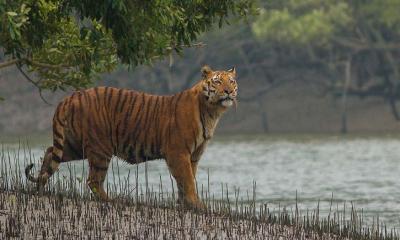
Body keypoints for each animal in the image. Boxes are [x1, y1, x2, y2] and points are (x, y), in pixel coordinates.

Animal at [25, 65, 238, 208]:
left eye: (232, 81)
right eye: (218, 81)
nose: (229, 91)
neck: (212, 112)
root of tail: (71, 96)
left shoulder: (193, 155)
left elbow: (186, 180)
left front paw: (184, 204)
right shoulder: (178, 152)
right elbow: (187, 180)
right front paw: (197, 205)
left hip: (75, 145)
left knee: (50, 152)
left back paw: (40, 188)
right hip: (100, 148)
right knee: (93, 180)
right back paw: (112, 200)